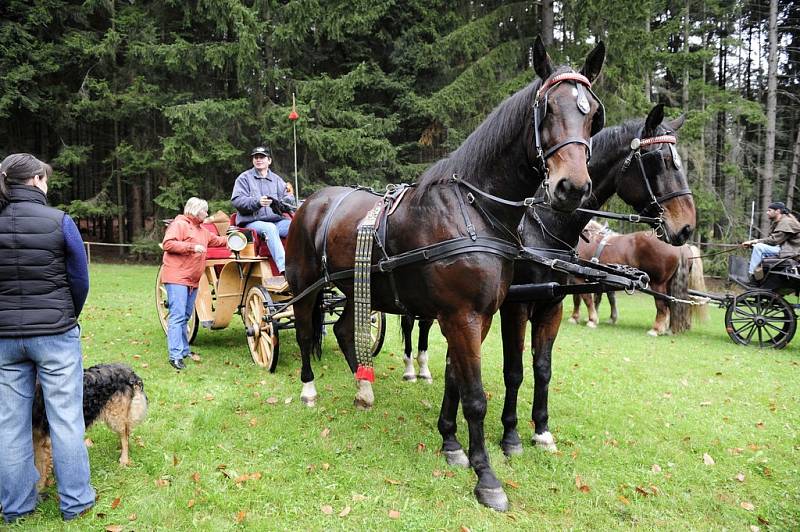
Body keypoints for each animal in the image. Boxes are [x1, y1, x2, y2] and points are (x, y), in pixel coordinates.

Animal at [32, 362, 148, 490]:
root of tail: (128, 371)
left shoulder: (42, 439)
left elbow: (40, 468)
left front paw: (39, 489)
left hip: (115, 415)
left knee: (125, 435)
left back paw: (124, 460)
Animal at [288, 37, 608, 512]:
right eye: (546, 108)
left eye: (591, 114)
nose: (572, 187)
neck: (473, 209)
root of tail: (310, 202)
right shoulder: (462, 315)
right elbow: (474, 396)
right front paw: (486, 477)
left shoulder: (479, 315)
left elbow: (455, 380)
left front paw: (451, 444)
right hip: (305, 286)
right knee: (306, 331)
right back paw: (309, 389)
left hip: (356, 289)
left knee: (344, 329)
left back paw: (364, 388)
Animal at [568, 222, 708, 334]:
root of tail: (681, 247)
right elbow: (584, 299)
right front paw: (577, 317)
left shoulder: (579, 276)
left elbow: (586, 298)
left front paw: (591, 320)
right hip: (670, 284)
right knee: (672, 303)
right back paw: (668, 328)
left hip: (658, 284)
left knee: (662, 305)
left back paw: (656, 329)